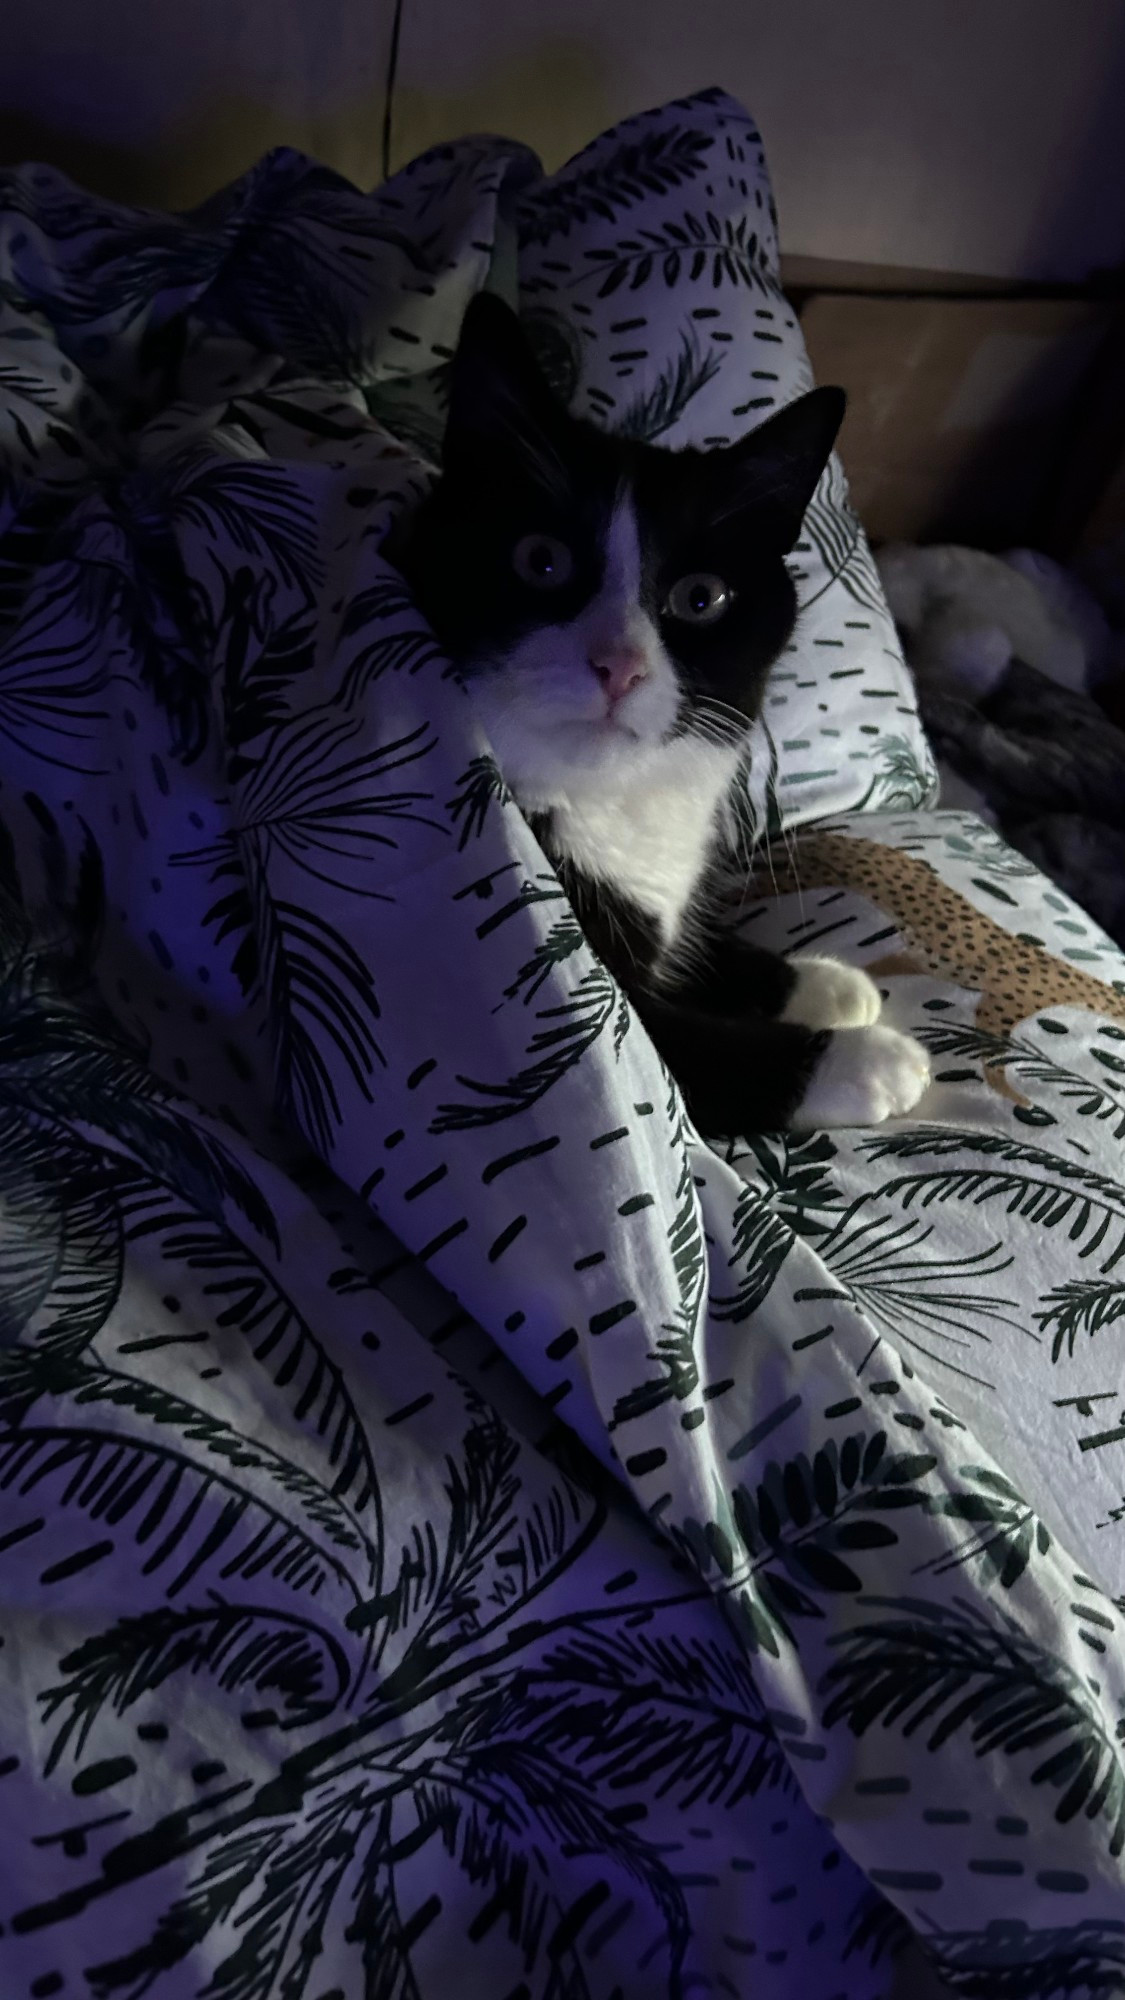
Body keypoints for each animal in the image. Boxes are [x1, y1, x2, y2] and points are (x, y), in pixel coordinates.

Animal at [394, 296, 928, 1144]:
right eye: (540, 560)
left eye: (700, 598)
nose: (619, 664)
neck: (604, 799)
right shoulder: (584, 991)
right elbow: (673, 1051)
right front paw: (865, 1059)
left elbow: (700, 948)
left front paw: (824, 986)